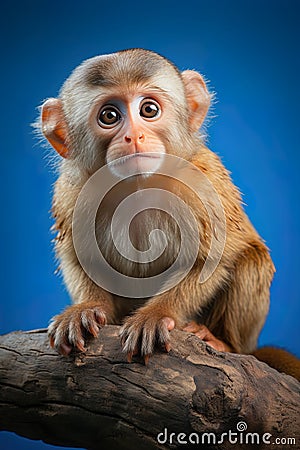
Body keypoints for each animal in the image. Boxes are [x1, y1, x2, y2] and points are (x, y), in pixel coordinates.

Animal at [38, 48, 298, 380]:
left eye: (148, 110)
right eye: (109, 116)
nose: (134, 136)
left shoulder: (202, 181)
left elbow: (211, 260)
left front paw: (156, 314)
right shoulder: (72, 194)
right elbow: (77, 258)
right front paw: (87, 308)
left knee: (252, 258)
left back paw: (224, 342)